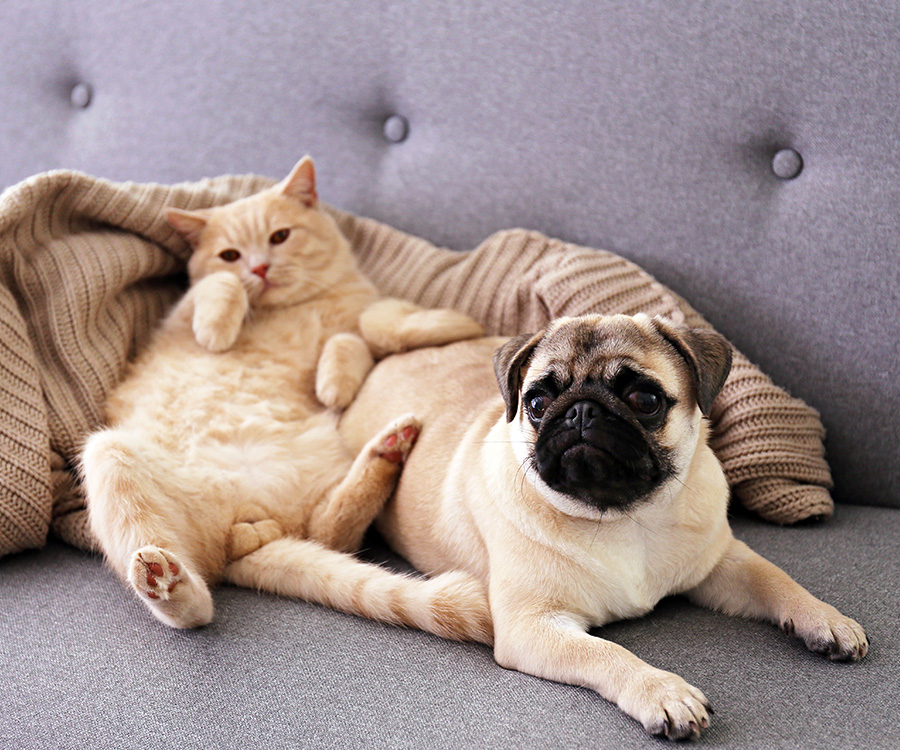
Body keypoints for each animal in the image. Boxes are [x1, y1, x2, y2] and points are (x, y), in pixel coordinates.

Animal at [81, 159, 492, 648]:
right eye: (231, 255)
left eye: (280, 236)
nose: (259, 268)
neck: (295, 309)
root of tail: (243, 523)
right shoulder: (180, 316)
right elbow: (218, 287)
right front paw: (220, 327)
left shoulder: (364, 324)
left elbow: (371, 327)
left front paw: (342, 377)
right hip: (106, 454)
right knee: (197, 602)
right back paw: (165, 580)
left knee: (327, 532)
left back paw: (387, 451)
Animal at [336, 312, 864, 740]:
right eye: (536, 402)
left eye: (645, 398)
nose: (581, 409)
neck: (625, 517)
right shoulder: (533, 626)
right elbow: (606, 654)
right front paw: (661, 691)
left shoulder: (721, 563)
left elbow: (777, 579)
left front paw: (825, 619)